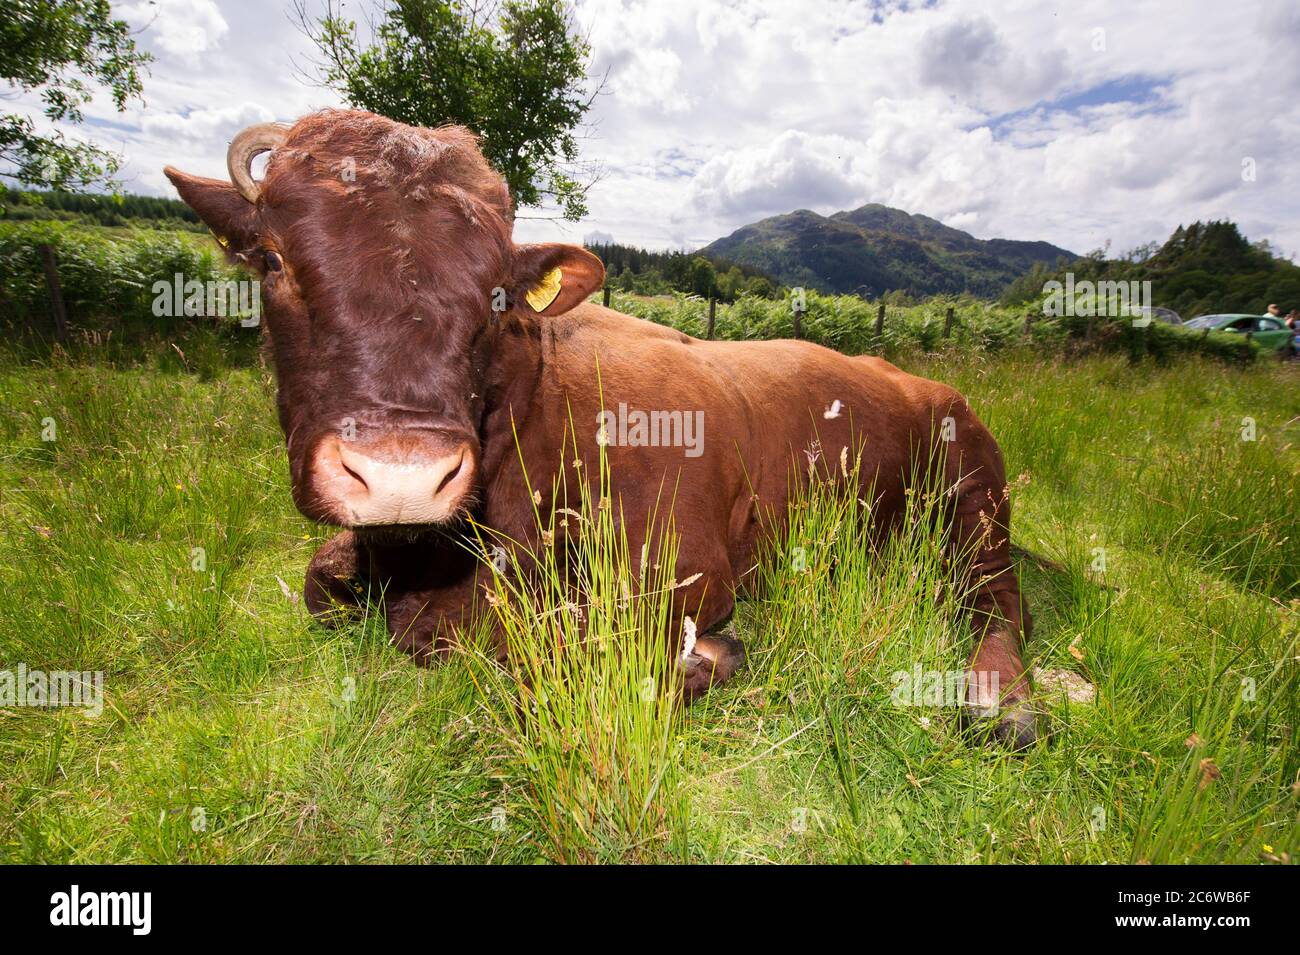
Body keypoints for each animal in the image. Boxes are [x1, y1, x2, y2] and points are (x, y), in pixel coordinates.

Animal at [167, 110, 1040, 748]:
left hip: (978, 490)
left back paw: (1004, 703)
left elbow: (540, 646)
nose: (401, 473)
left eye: (496, 291)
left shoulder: (686, 566)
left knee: (998, 600)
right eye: (272, 261)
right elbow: (325, 582)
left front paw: (711, 653)